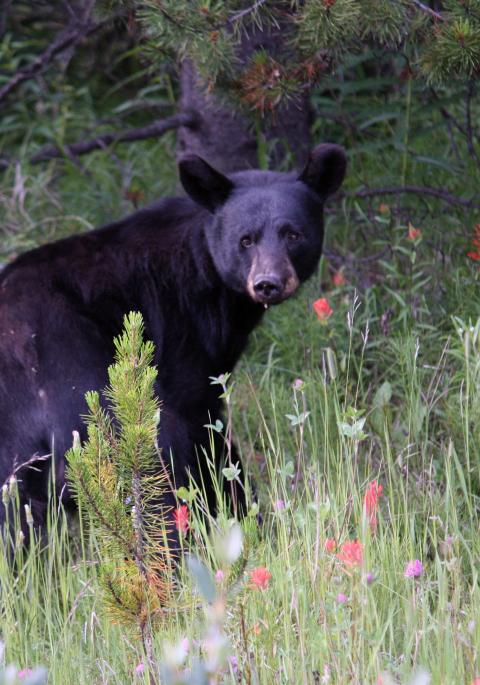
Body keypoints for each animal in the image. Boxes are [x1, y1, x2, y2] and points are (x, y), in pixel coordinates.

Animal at [0, 143, 346, 529]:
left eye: (293, 234)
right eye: (245, 239)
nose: (267, 283)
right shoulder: (182, 333)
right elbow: (203, 421)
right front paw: (242, 506)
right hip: (83, 375)